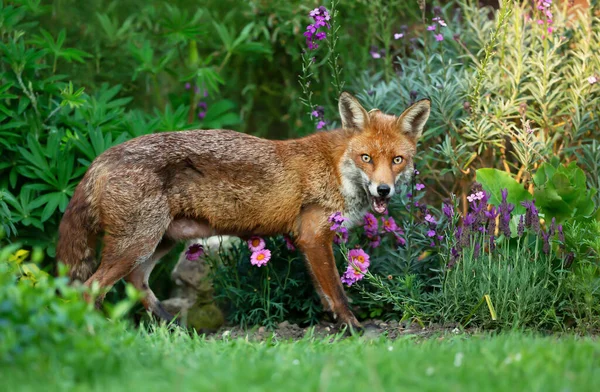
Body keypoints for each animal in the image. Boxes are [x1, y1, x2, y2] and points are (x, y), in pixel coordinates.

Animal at [56, 92, 428, 330]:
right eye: (367, 158)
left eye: (397, 160)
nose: (383, 190)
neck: (335, 168)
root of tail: (103, 156)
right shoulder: (313, 235)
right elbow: (336, 291)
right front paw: (352, 328)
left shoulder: (308, 241)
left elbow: (323, 292)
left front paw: (334, 324)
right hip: (137, 244)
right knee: (89, 289)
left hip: (157, 242)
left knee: (136, 282)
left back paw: (173, 328)